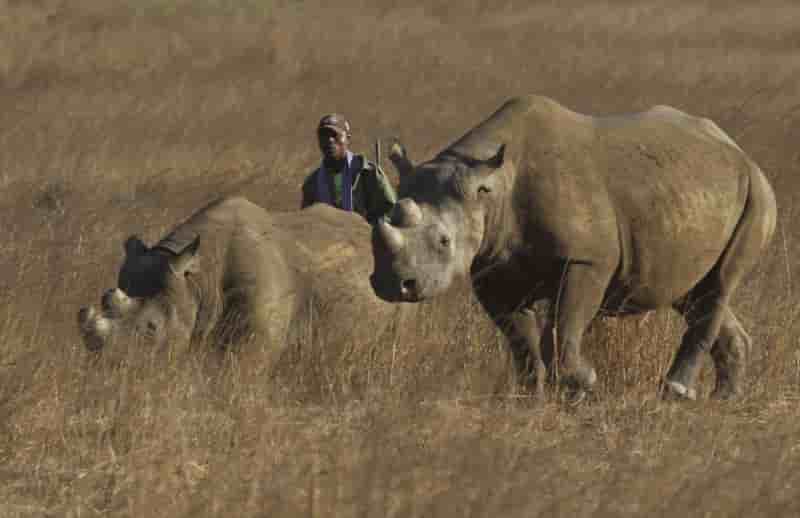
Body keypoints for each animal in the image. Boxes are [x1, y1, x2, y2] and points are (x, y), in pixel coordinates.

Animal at [373, 95, 777, 399]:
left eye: (444, 242)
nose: (395, 285)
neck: (492, 188)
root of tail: (740, 150)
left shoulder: (587, 260)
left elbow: (563, 327)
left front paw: (582, 383)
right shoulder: (492, 267)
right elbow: (520, 339)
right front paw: (529, 396)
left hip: (756, 193)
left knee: (720, 283)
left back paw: (677, 392)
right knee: (691, 292)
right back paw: (723, 399)